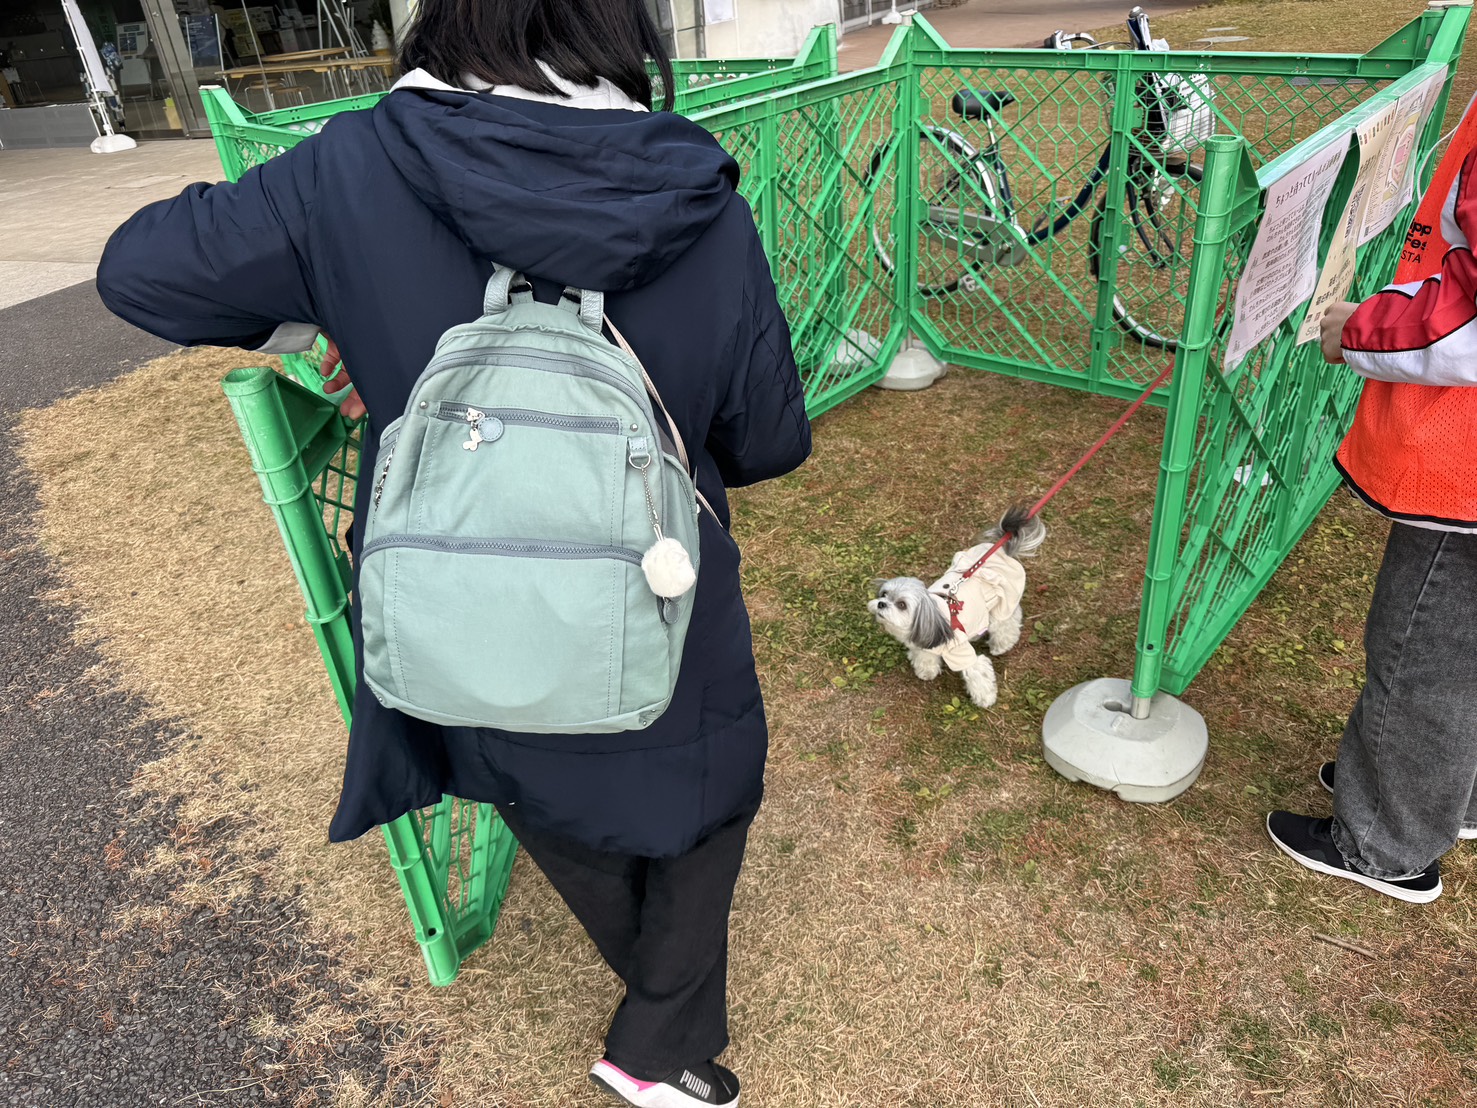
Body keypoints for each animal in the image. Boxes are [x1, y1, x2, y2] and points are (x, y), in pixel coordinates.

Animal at [868, 507, 1047, 709]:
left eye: (901, 605)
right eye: (884, 594)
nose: (881, 603)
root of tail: (1001, 551)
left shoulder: (961, 652)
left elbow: (977, 672)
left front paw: (985, 699)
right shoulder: (925, 645)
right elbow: (925, 658)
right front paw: (926, 672)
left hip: (1003, 604)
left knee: (1006, 624)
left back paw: (1001, 646)